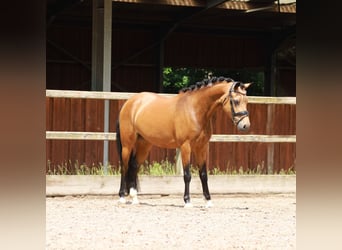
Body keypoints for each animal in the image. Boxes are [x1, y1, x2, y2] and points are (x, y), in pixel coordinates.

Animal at [116, 75, 252, 207]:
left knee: (133, 166)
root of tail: (130, 102)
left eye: (246, 101)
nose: (245, 126)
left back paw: (134, 198)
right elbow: (187, 175)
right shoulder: (186, 146)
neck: (195, 110)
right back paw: (122, 197)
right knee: (124, 167)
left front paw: (208, 201)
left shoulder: (202, 147)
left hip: (144, 144)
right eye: (236, 101)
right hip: (127, 144)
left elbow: (203, 175)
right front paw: (187, 201)